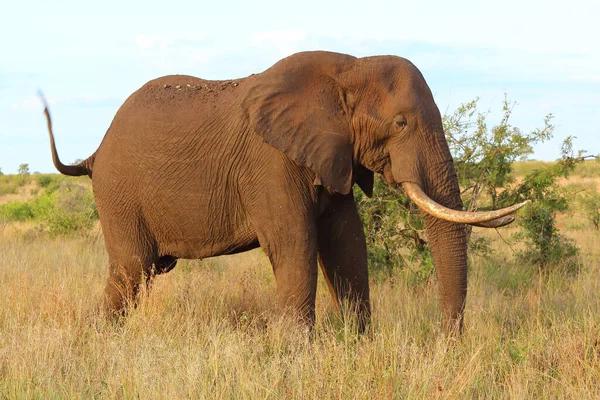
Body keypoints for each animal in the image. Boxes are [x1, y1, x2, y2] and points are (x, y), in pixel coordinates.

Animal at [43, 50, 524, 334]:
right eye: (402, 123)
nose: (446, 342)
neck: (347, 67)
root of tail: (94, 152)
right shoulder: (270, 162)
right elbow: (296, 243)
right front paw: (299, 358)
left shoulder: (332, 154)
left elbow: (347, 243)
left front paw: (358, 347)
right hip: (118, 191)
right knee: (131, 270)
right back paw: (101, 341)